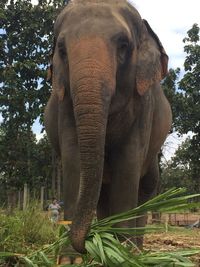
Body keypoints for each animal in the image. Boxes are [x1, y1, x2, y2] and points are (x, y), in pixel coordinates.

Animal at [44, 0, 172, 255]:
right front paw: (70, 258)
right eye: (62, 50)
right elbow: (73, 159)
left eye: (123, 46)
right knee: (102, 194)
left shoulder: (143, 106)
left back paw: (136, 249)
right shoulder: (65, 105)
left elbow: (128, 164)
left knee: (146, 188)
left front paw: (122, 254)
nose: (84, 246)